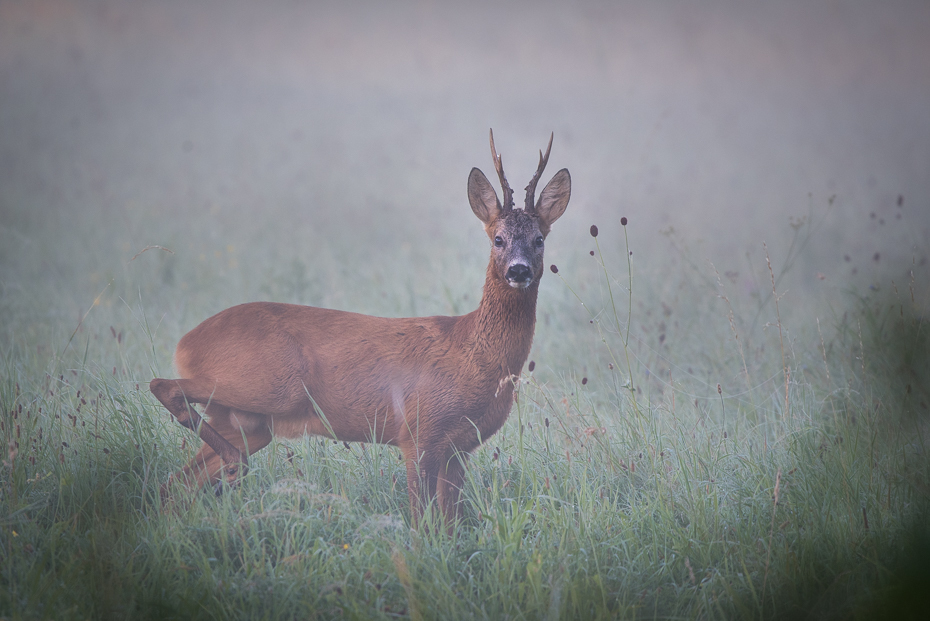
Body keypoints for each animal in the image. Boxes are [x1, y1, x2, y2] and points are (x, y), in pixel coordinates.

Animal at [150, 130, 568, 524]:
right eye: (498, 239)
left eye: (539, 240)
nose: (518, 270)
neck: (475, 355)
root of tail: (186, 343)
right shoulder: (418, 431)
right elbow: (422, 522)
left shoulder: (460, 447)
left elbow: (449, 523)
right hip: (269, 386)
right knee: (163, 388)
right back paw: (234, 465)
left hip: (248, 421)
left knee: (175, 483)